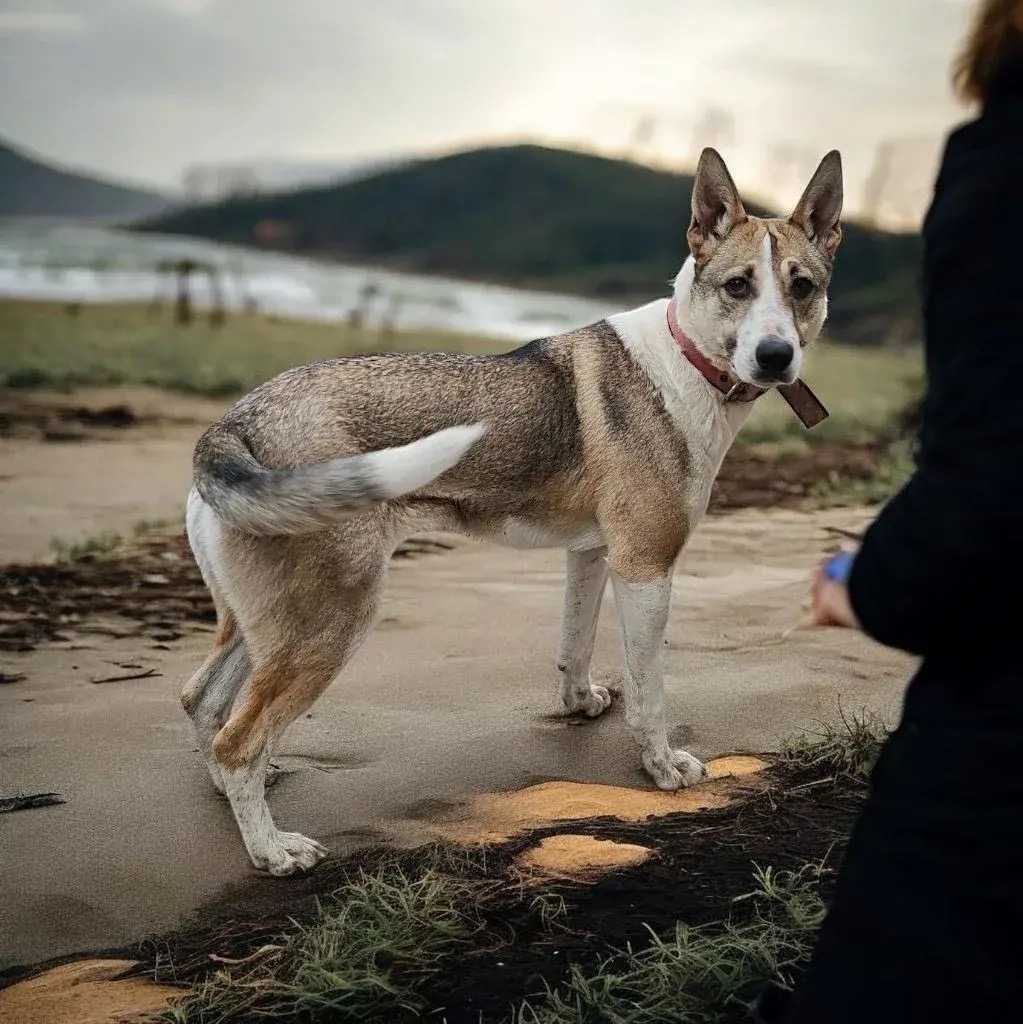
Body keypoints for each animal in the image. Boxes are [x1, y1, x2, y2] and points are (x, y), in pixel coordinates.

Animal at [182, 148, 843, 874]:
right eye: (737, 286)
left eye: (802, 286)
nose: (776, 357)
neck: (685, 360)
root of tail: (236, 425)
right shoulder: (645, 567)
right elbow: (651, 690)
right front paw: (663, 766)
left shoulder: (590, 554)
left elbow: (573, 645)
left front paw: (581, 705)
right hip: (329, 620)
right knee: (236, 739)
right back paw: (271, 848)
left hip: (262, 622)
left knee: (204, 702)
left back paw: (245, 795)